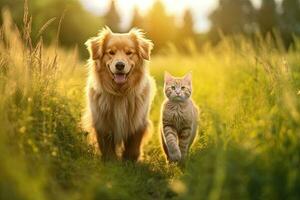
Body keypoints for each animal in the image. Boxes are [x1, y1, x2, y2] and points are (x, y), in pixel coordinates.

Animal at [83, 27, 155, 161]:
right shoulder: (102, 123)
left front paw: (130, 161)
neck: (120, 93)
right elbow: (106, 147)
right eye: (111, 52)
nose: (120, 65)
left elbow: (133, 147)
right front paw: (110, 161)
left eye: (129, 53)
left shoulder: (138, 122)